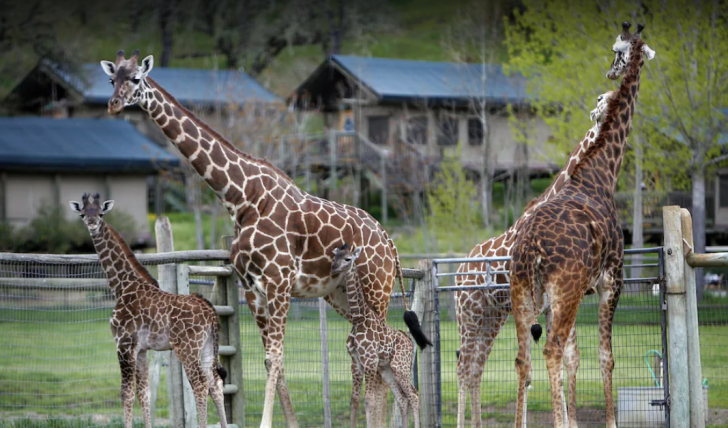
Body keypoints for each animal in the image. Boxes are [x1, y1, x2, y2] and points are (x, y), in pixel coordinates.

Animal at [69, 194, 228, 428]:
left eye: (100, 213)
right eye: (82, 213)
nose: (91, 224)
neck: (122, 286)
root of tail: (210, 312)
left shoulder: (123, 343)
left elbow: (126, 393)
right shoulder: (142, 349)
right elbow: (144, 392)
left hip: (187, 349)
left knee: (200, 385)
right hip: (207, 346)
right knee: (215, 383)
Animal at [99, 49, 430, 428]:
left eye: (136, 78)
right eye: (111, 79)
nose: (113, 104)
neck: (242, 199)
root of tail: (390, 242)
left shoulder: (279, 283)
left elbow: (275, 357)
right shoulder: (252, 289)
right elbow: (273, 360)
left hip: (377, 289)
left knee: (382, 358)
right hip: (342, 296)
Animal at [458, 89, 612, 428]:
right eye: (600, 103)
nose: (608, 102)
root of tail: (460, 267)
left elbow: (568, 359)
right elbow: (540, 366)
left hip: (492, 317)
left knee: (476, 369)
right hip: (468, 312)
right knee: (463, 367)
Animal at [510, 23, 656, 428]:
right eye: (617, 51)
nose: (610, 73)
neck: (601, 173)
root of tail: (530, 247)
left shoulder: (581, 292)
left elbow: (577, 358)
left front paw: (575, 420)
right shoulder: (611, 280)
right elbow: (606, 357)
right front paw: (609, 421)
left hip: (524, 292)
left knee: (524, 358)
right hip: (564, 291)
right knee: (551, 350)